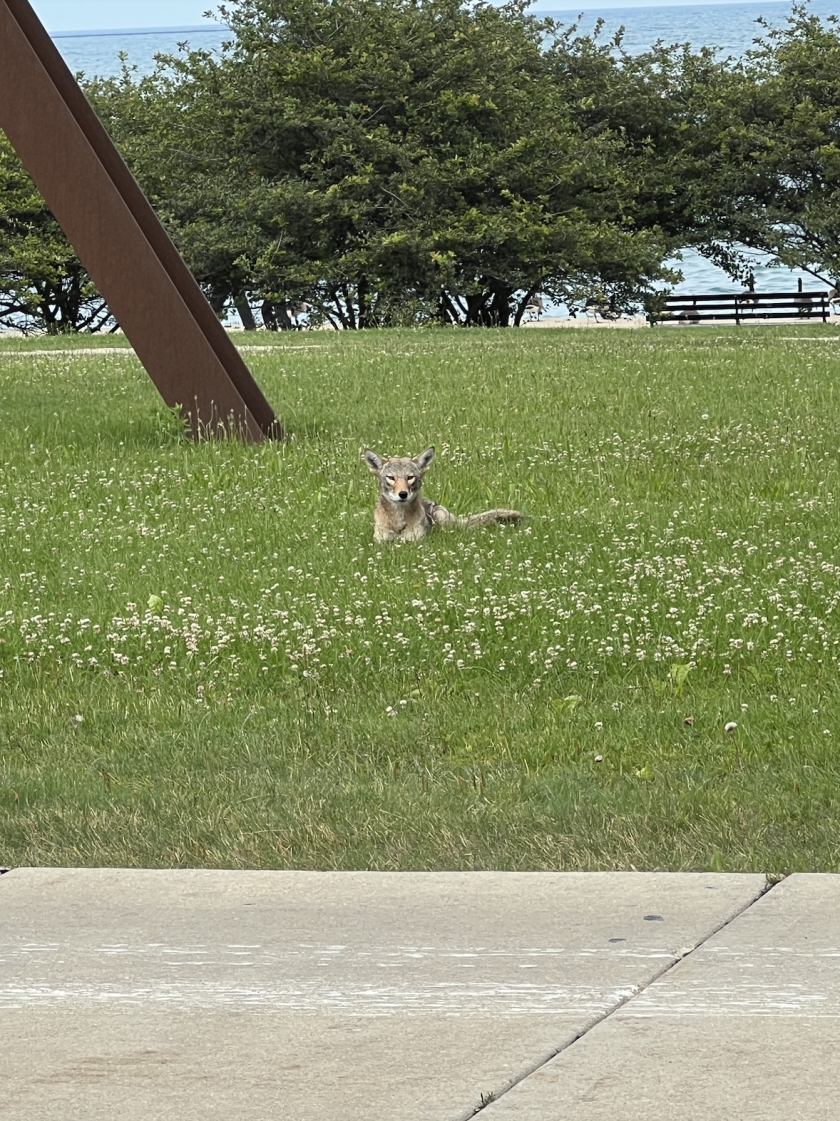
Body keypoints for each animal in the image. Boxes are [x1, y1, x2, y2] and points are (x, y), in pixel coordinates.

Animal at [363, 446, 523, 543]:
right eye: (391, 478)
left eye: (410, 477)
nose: (403, 494)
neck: (398, 521)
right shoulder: (380, 541)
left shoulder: (416, 540)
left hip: (442, 518)